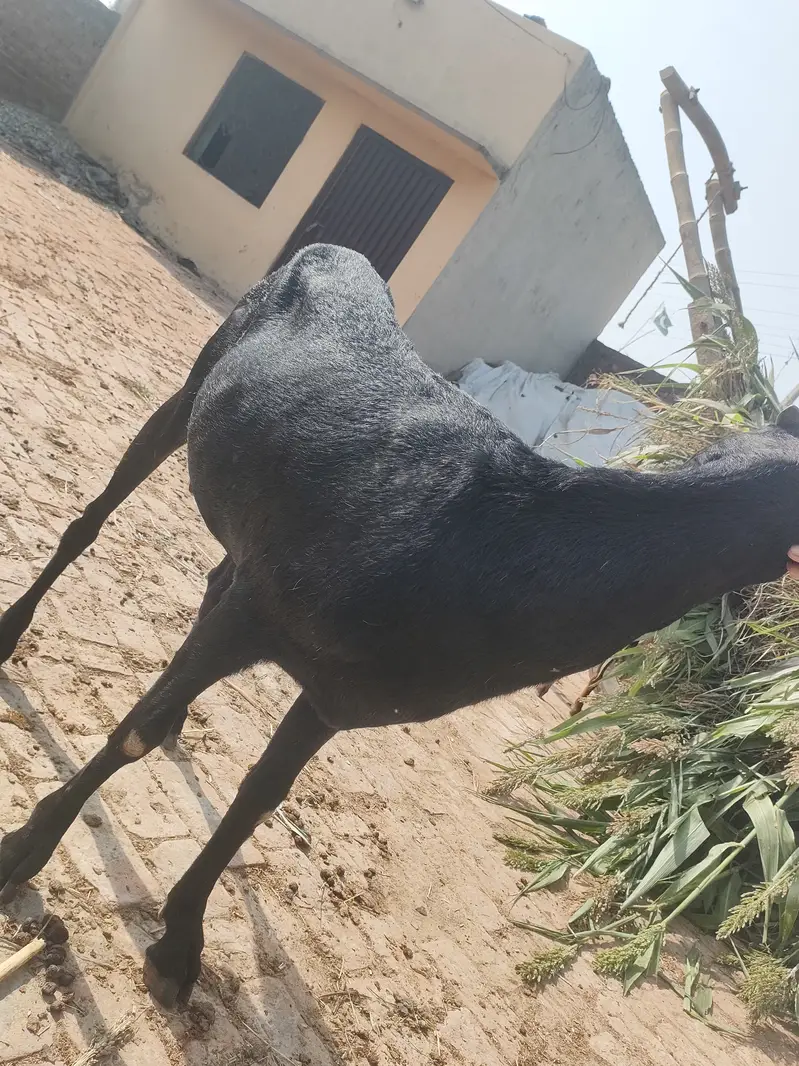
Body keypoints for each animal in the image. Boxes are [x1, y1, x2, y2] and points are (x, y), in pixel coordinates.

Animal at [2, 244, 799, 1009]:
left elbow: (259, 797)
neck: (492, 545)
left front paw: (179, 947)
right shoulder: (260, 613)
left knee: (212, 581)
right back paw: (17, 635)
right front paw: (25, 851)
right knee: (94, 520)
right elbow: (134, 732)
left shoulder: (336, 691)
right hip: (196, 386)